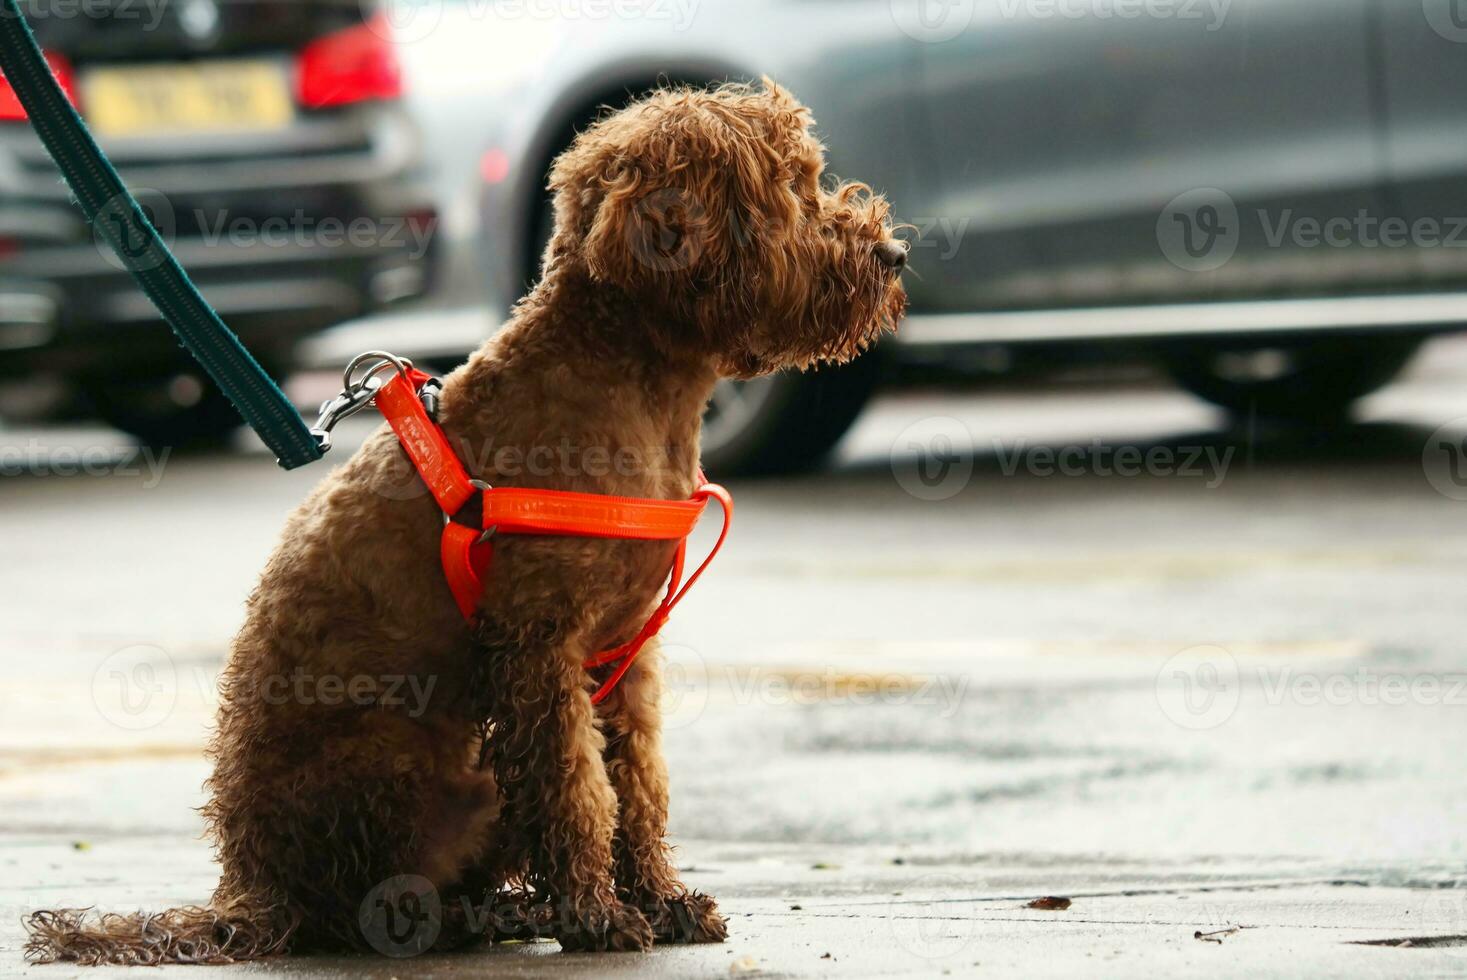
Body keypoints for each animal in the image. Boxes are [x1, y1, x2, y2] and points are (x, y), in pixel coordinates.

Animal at [25, 76, 903, 962]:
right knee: (362, 909)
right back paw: (471, 917)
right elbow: (577, 787)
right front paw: (597, 913)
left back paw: (506, 910)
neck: (633, 386)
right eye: (788, 187)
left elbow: (638, 780)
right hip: (407, 758)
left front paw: (659, 898)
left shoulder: (625, 657)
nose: (893, 255)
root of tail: (250, 890)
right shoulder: (539, 650)